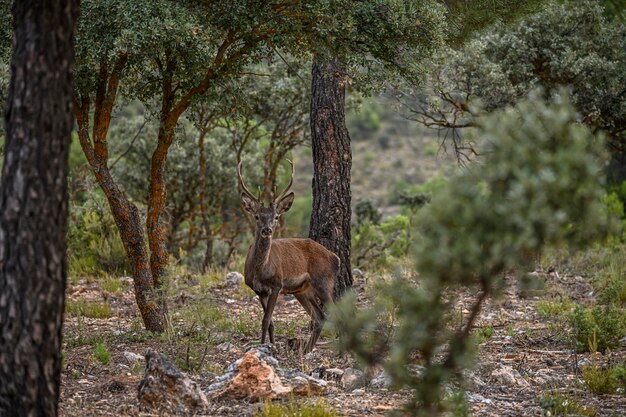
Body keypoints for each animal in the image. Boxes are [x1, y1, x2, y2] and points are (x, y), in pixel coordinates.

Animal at [238, 159, 336, 352]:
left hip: (323, 282)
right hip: (303, 290)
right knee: (319, 317)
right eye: (257, 216)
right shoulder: (258, 290)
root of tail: (335, 257)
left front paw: (265, 348)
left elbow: (266, 319)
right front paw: (270, 346)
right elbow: (270, 322)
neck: (261, 271)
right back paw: (306, 351)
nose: (267, 230)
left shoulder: (277, 284)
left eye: (276, 217)